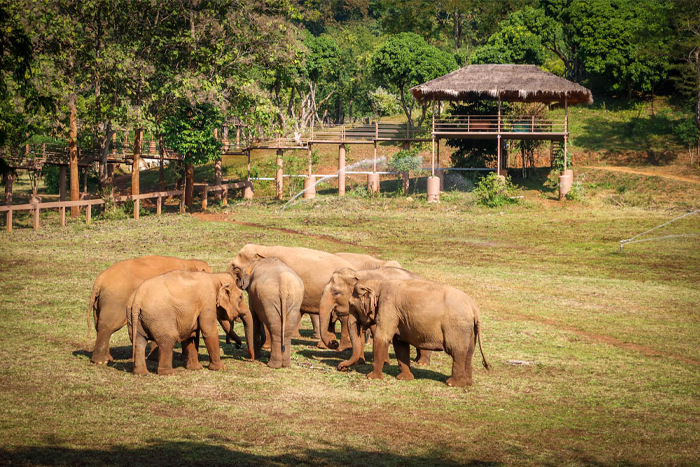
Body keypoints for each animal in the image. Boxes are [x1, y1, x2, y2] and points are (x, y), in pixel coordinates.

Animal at [86, 256, 239, 366]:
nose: (236, 345)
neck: (190, 263)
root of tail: (98, 281)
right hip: (115, 301)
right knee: (107, 327)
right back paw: (101, 361)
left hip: (99, 305)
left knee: (99, 327)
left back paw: (108, 359)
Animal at [227, 245, 356, 352]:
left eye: (235, 267)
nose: (236, 345)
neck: (264, 248)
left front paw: (266, 347)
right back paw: (325, 345)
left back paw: (340, 347)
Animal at [348, 282, 490, 388]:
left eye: (351, 304)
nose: (343, 368)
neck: (378, 284)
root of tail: (474, 307)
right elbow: (400, 343)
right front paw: (404, 378)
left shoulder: (388, 307)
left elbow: (382, 337)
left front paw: (371, 377)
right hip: (469, 330)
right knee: (469, 352)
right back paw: (467, 383)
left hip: (457, 327)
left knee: (457, 352)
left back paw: (453, 384)